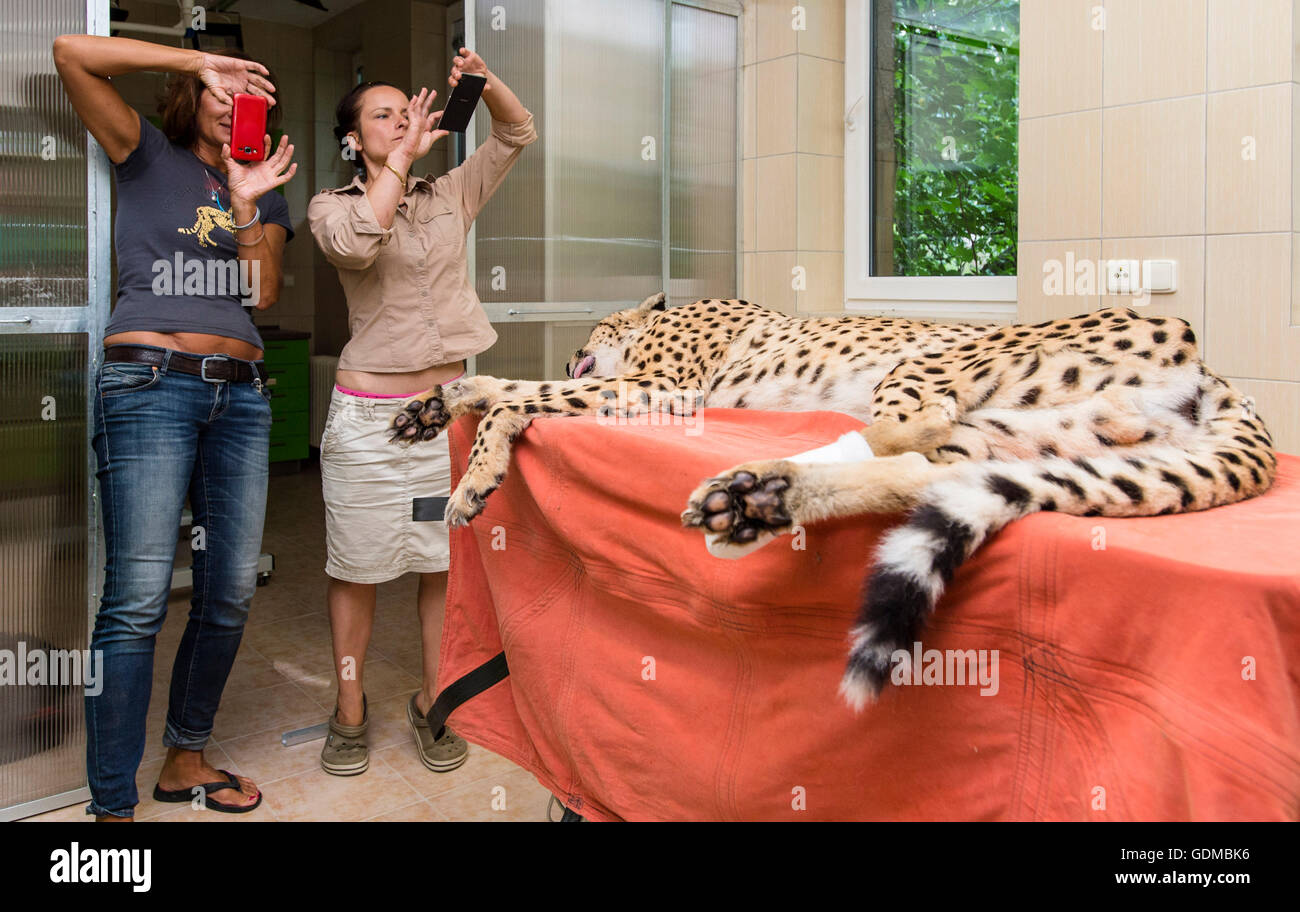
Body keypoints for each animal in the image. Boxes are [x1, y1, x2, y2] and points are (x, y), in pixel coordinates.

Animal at [387, 296, 1279, 711]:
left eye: (599, 324)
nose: (578, 343)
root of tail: (1210, 367)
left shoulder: (661, 388)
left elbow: (520, 398)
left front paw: (475, 468)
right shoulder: (640, 387)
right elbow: (508, 387)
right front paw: (435, 403)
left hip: (948, 364)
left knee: (906, 426)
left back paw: (766, 479)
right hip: (1035, 435)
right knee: (922, 470)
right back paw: (759, 498)